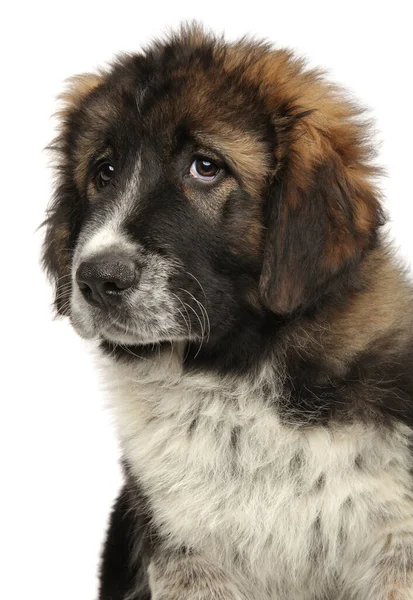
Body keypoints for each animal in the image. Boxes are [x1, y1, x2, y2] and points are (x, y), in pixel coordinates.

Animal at [41, 23, 412, 600]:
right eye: (104, 172)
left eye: (206, 167)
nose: (97, 279)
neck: (235, 378)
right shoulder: (191, 554)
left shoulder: (395, 543)